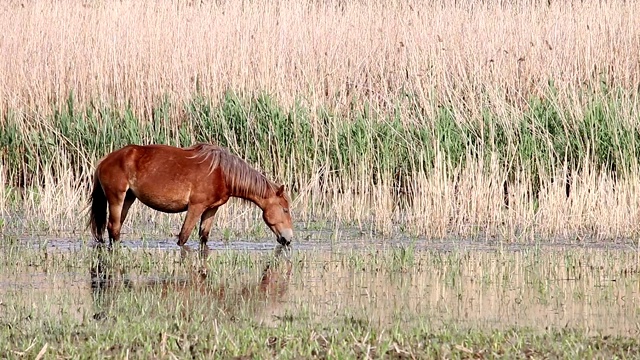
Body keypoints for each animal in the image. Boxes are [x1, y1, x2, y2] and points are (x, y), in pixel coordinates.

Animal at [89, 143, 294, 248]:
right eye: (285, 209)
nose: (288, 239)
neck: (222, 173)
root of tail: (105, 160)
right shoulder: (195, 207)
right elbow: (183, 237)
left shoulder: (211, 209)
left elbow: (203, 237)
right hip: (116, 198)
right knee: (113, 228)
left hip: (128, 199)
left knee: (114, 229)